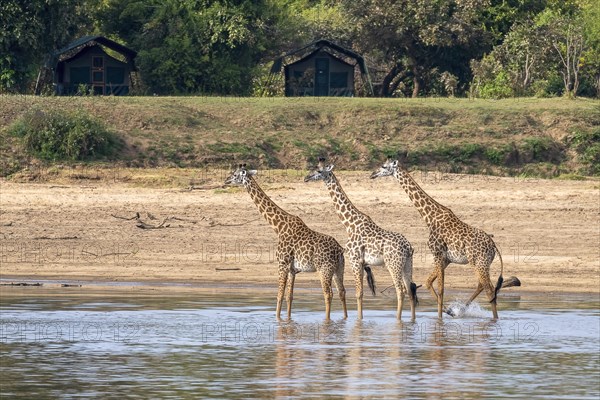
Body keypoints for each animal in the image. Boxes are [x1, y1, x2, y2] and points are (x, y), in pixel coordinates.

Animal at [224, 164, 346, 320]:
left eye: (235, 174)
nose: (226, 180)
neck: (278, 227)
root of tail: (340, 250)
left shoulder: (282, 264)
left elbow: (279, 295)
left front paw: (277, 319)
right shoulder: (293, 270)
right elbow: (289, 296)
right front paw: (287, 320)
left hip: (324, 269)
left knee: (328, 294)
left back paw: (327, 320)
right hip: (338, 269)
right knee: (342, 292)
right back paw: (345, 318)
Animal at [304, 159, 418, 318]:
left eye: (319, 171)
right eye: (315, 167)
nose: (306, 178)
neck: (349, 224)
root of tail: (408, 247)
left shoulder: (355, 260)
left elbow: (359, 293)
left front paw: (359, 320)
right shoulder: (362, 262)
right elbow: (361, 293)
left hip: (393, 264)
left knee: (400, 290)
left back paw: (397, 320)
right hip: (407, 263)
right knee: (410, 290)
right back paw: (411, 320)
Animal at [372, 159, 508, 318]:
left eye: (384, 166)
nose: (372, 174)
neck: (429, 218)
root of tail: (494, 246)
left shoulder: (437, 253)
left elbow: (441, 289)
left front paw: (441, 317)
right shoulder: (446, 258)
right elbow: (429, 282)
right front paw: (447, 312)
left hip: (478, 262)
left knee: (489, 289)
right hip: (482, 263)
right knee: (482, 285)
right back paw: (463, 310)